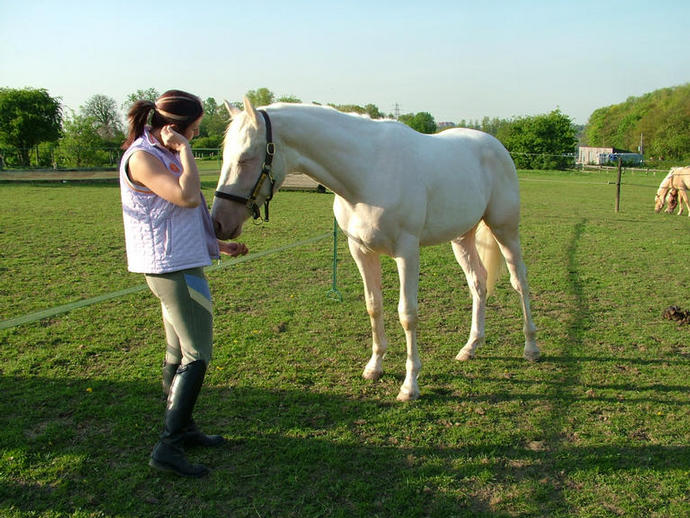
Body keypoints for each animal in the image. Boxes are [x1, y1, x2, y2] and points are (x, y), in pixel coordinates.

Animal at [210, 99, 536, 404]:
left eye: (246, 158)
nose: (218, 223)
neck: (367, 172)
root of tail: (495, 145)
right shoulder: (361, 250)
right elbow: (373, 305)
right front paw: (374, 367)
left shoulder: (407, 252)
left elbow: (407, 314)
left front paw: (409, 386)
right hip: (462, 238)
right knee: (478, 283)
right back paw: (470, 347)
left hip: (505, 230)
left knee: (519, 281)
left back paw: (531, 347)